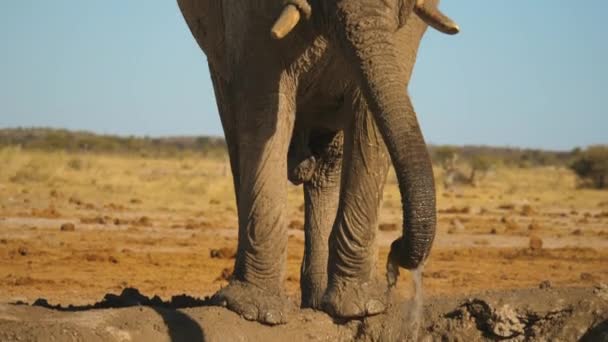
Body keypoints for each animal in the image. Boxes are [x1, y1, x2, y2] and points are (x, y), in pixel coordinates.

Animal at [178, 0, 458, 324]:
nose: (395, 252)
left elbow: (368, 115)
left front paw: (362, 309)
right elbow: (264, 105)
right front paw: (257, 313)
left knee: (327, 167)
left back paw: (319, 302)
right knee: (236, 133)